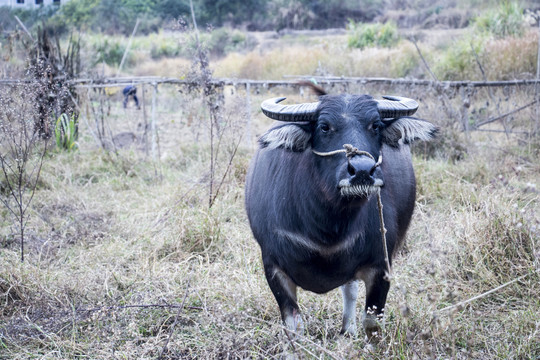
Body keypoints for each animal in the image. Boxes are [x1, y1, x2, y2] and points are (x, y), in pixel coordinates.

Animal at [247, 85, 436, 340]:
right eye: (324, 126)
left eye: (375, 125)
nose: (362, 171)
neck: (327, 224)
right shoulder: (273, 266)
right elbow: (293, 324)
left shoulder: (381, 266)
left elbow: (372, 323)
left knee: (350, 290)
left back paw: (347, 329)